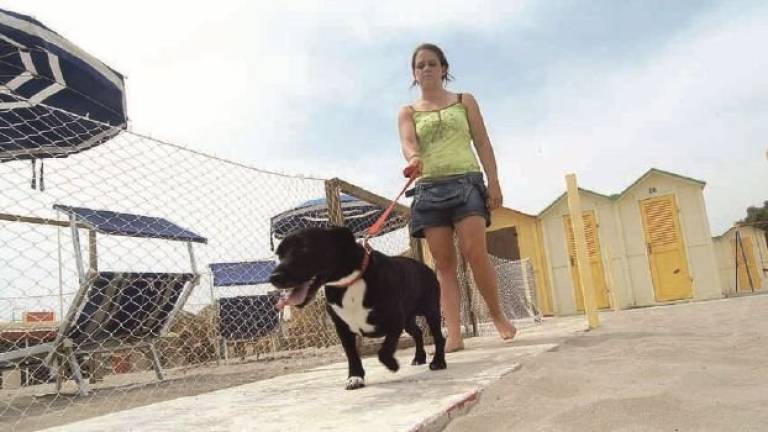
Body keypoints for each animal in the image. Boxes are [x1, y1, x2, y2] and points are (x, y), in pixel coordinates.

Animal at [272, 224, 448, 390]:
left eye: (305, 248)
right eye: (279, 255)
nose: (273, 277)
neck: (348, 283)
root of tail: (424, 266)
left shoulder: (395, 320)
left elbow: (384, 351)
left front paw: (392, 365)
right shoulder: (342, 328)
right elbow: (352, 355)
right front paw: (355, 377)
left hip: (430, 311)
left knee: (439, 337)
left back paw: (438, 361)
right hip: (407, 320)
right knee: (417, 332)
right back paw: (419, 357)